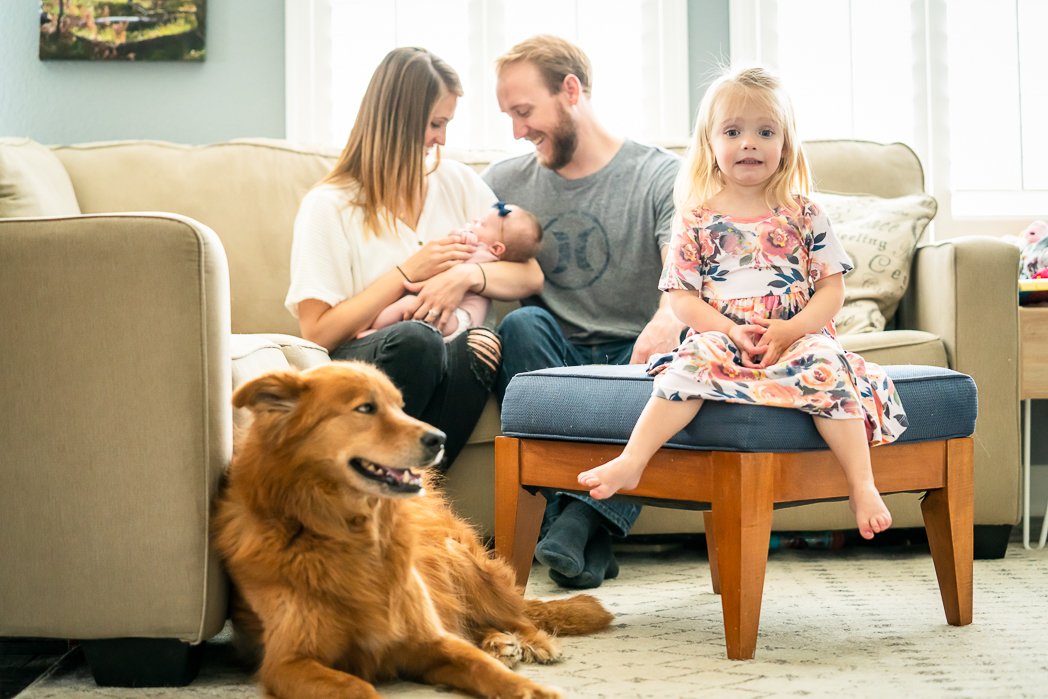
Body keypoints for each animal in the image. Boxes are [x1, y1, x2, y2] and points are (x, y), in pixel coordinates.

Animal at [210, 364, 612, 695]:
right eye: (366, 408)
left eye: (400, 406)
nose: (440, 438)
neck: (351, 534)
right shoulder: (287, 662)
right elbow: (357, 688)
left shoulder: (428, 639)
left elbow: (482, 667)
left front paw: (532, 688)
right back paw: (501, 643)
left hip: (456, 558)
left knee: (510, 614)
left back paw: (529, 640)